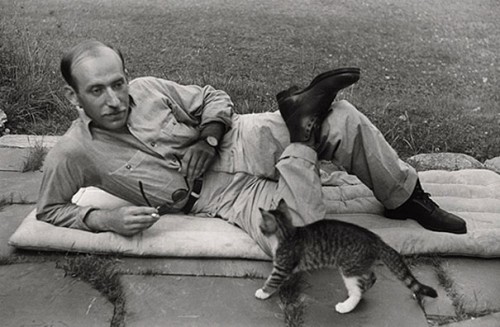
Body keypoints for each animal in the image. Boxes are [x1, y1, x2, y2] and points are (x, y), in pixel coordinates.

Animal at [256, 199, 436, 314]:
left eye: (261, 226)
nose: (259, 229)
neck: (287, 233)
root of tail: (375, 239)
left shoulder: (282, 265)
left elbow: (273, 280)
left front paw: (263, 292)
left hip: (348, 268)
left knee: (358, 291)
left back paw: (346, 305)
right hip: (359, 265)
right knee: (371, 277)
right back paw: (363, 288)